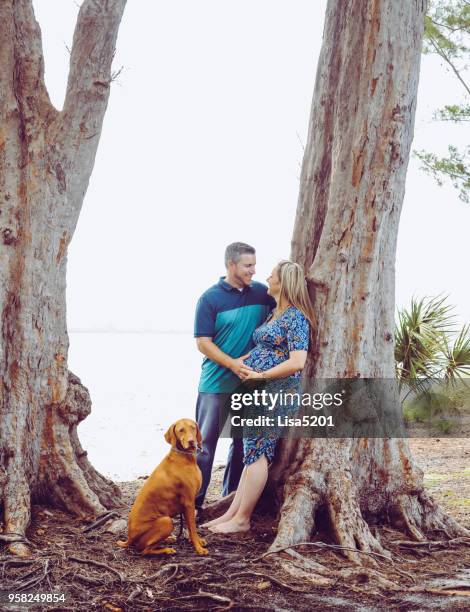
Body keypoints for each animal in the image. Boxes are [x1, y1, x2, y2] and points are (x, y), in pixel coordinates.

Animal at [116, 420, 207, 556]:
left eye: (193, 428)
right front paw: (198, 548)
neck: (184, 457)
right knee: (145, 550)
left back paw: (169, 539)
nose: (192, 441)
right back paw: (166, 549)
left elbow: (190, 528)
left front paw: (197, 541)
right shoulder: (189, 503)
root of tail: (129, 538)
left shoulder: (187, 505)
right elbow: (193, 527)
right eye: (181, 430)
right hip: (166, 521)